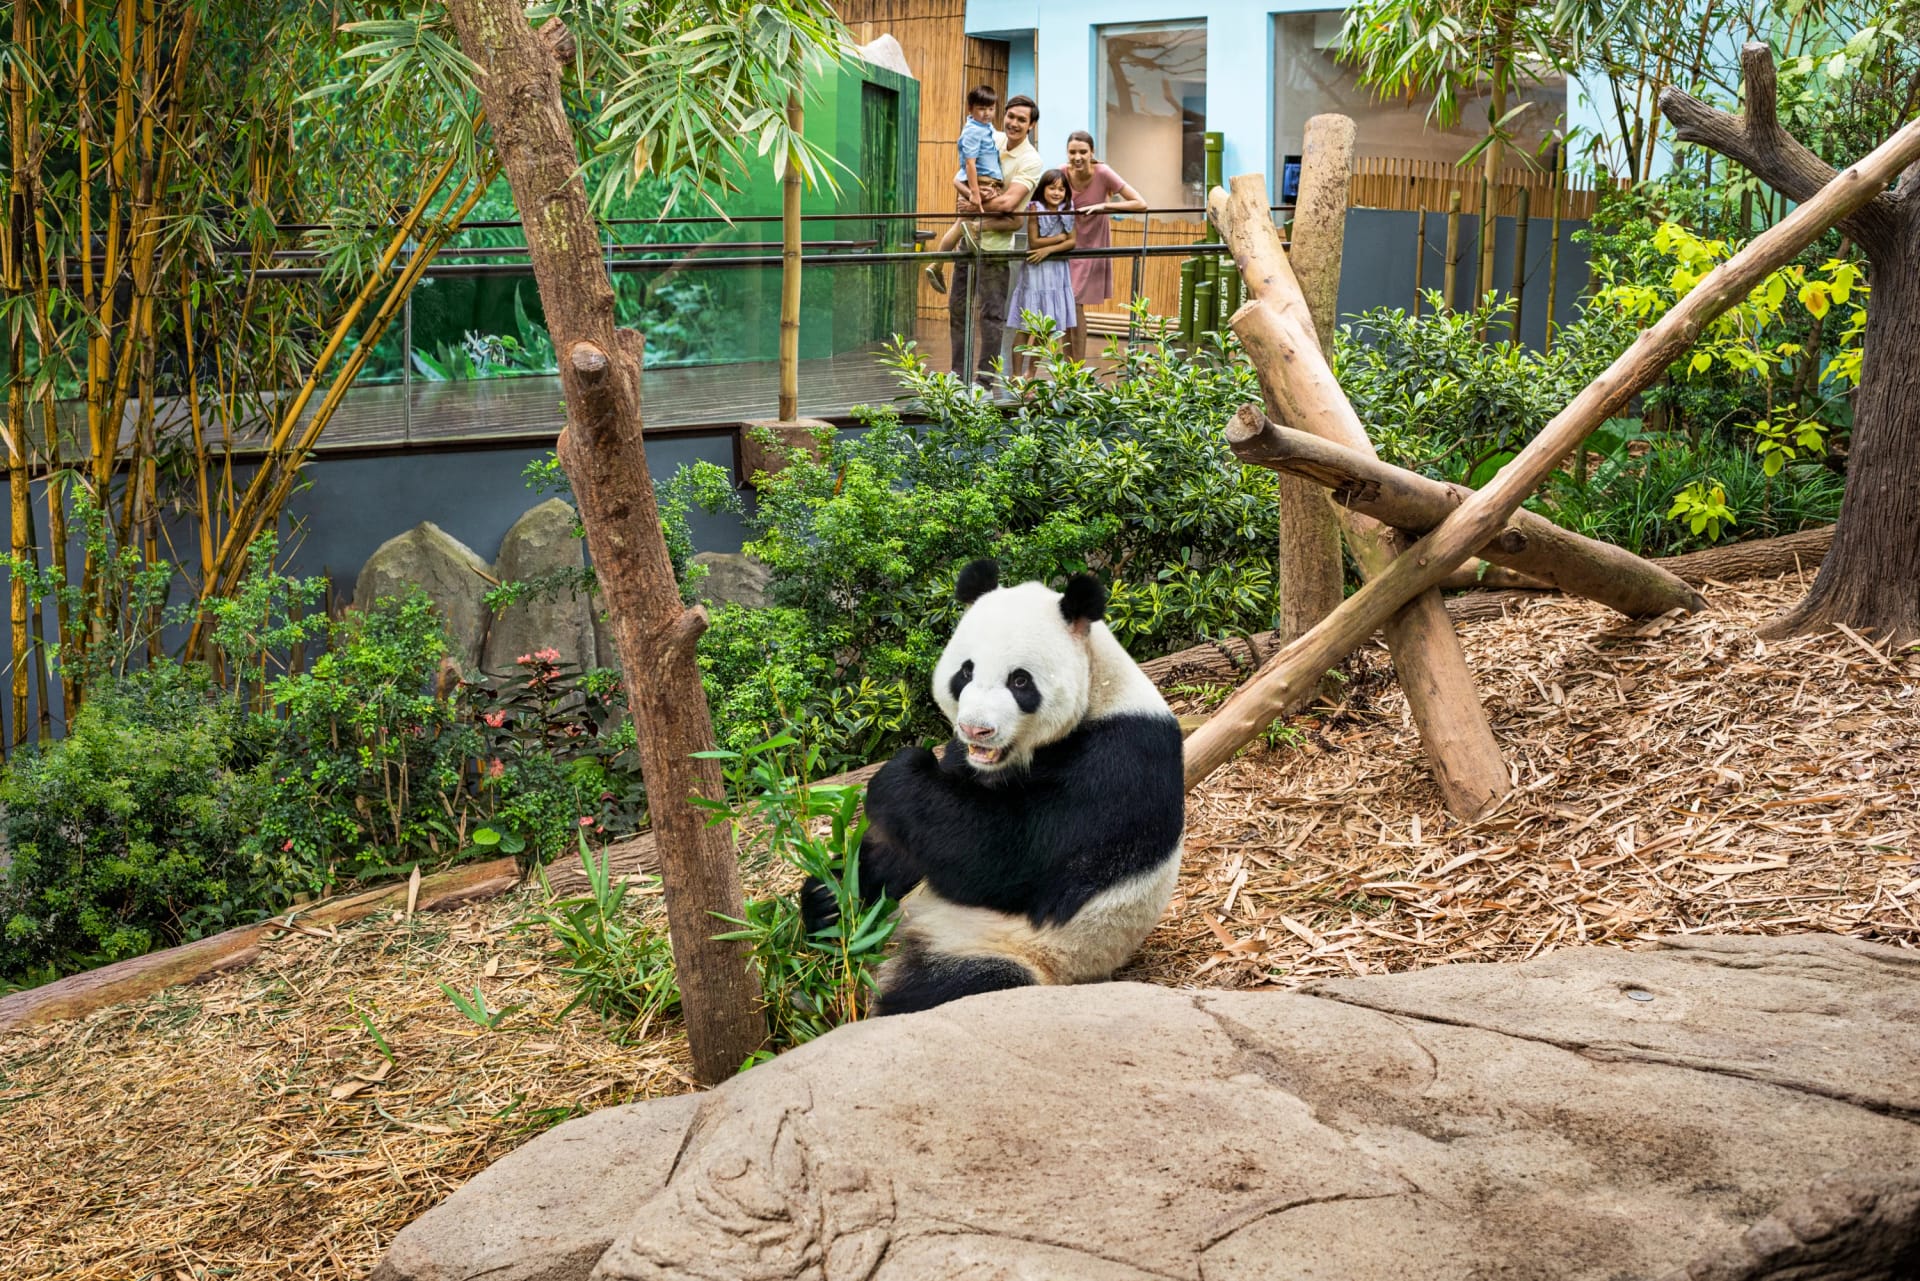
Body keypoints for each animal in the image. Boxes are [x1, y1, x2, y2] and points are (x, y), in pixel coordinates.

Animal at [802, 558, 1186, 1016]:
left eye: (1020, 681)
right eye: (965, 671)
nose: (976, 729)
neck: (1101, 688)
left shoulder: (1121, 760)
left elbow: (1008, 857)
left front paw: (900, 774)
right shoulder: (965, 760)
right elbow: (917, 844)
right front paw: (832, 895)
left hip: (1014, 949)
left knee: (950, 987)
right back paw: (825, 907)